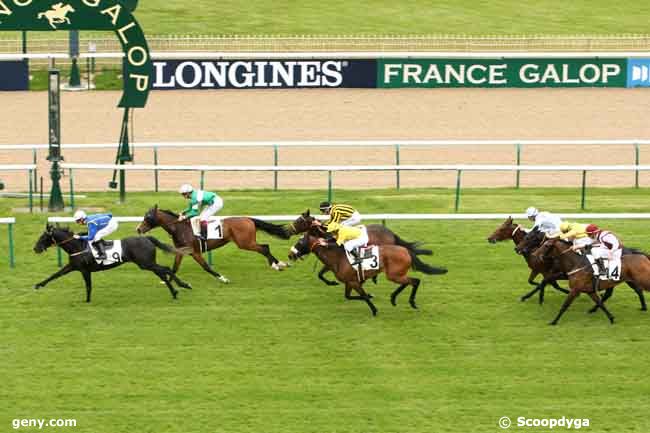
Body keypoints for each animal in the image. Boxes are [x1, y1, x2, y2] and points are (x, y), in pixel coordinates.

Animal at [32, 226, 189, 300]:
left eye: (43, 237)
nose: (35, 248)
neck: (78, 246)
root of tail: (147, 238)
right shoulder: (73, 266)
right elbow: (55, 275)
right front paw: (38, 285)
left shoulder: (84, 270)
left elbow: (88, 286)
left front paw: (87, 301)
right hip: (147, 263)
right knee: (162, 273)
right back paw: (175, 292)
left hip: (145, 263)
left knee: (166, 269)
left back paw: (184, 285)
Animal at [137, 206, 292, 284]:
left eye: (148, 217)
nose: (138, 229)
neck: (179, 228)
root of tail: (248, 219)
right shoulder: (182, 251)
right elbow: (175, 267)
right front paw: (168, 281)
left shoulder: (195, 252)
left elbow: (206, 267)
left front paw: (223, 278)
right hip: (247, 242)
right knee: (265, 247)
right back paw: (280, 263)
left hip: (245, 243)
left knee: (264, 247)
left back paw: (276, 265)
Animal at [288, 228, 446, 316]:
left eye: (300, 242)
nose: (290, 255)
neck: (338, 257)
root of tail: (406, 250)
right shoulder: (350, 282)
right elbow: (348, 296)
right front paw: (371, 296)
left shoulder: (353, 282)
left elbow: (363, 295)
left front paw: (374, 309)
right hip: (396, 275)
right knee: (409, 282)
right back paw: (393, 298)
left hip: (394, 275)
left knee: (415, 281)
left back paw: (410, 302)